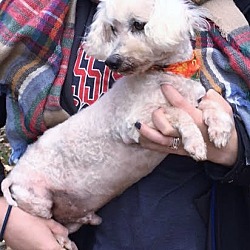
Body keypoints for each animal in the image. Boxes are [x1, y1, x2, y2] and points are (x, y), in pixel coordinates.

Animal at [0, 0, 233, 249]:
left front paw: (220, 129)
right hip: (37, 200)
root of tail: (12, 176)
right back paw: (63, 241)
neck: (166, 74)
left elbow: (210, 101)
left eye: (138, 25)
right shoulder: (135, 122)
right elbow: (178, 112)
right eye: (112, 28)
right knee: (52, 225)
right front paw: (195, 142)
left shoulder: (194, 99)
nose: (112, 61)